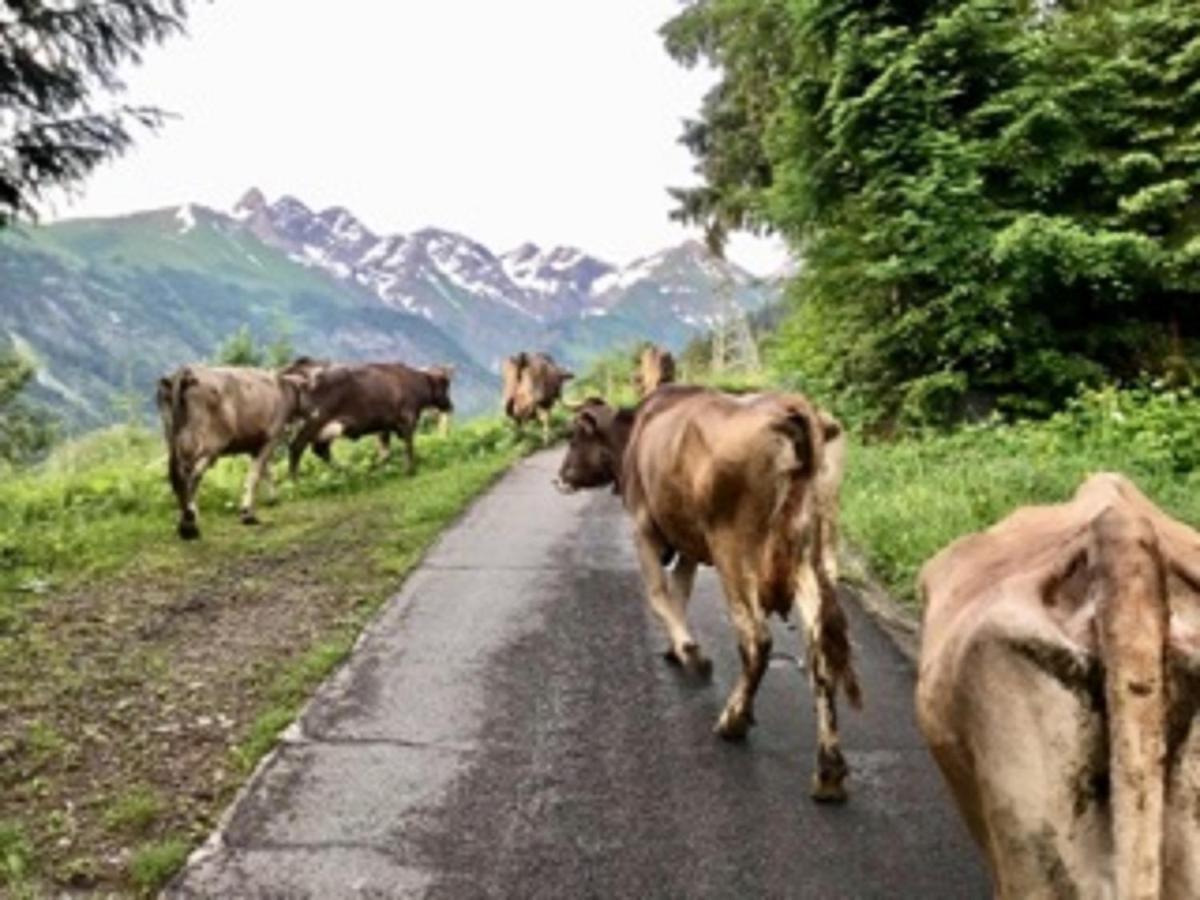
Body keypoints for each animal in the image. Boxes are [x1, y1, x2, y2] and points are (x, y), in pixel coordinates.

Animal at [154, 362, 312, 540]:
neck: (283, 388)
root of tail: (186, 370)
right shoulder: (271, 437)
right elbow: (255, 475)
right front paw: (247, 513)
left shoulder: (254, 445)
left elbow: (266, 471)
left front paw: (273, 499)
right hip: (208, 443)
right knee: (191, 476)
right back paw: (189, 525)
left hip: (174, 440)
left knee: (178, 476)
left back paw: (189, 520)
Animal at [286, 362, 453, 482]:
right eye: (445, 386)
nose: (450, 406)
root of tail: (304, 382)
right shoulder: (408, 420)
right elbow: (408, 446)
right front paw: (410, 471)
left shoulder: (385, 427)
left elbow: (386, 453)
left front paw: (373, 469)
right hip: (313, 423)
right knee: (296, 447)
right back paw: (296, 482)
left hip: (327, 429)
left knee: (320, 450)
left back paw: (348, 472)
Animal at [556, 388, 859, 801]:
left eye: (573, 437)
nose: (559, 477)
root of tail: (789, 406)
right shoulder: (687, 542)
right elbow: (680, 591)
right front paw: (677, 647)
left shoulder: (644, 528)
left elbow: (658, 594)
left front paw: (690, 653)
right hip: (814, 558)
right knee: (821, 653)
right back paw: (829, 772)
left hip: (733, 550)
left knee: (757, 640)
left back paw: (733, 719)